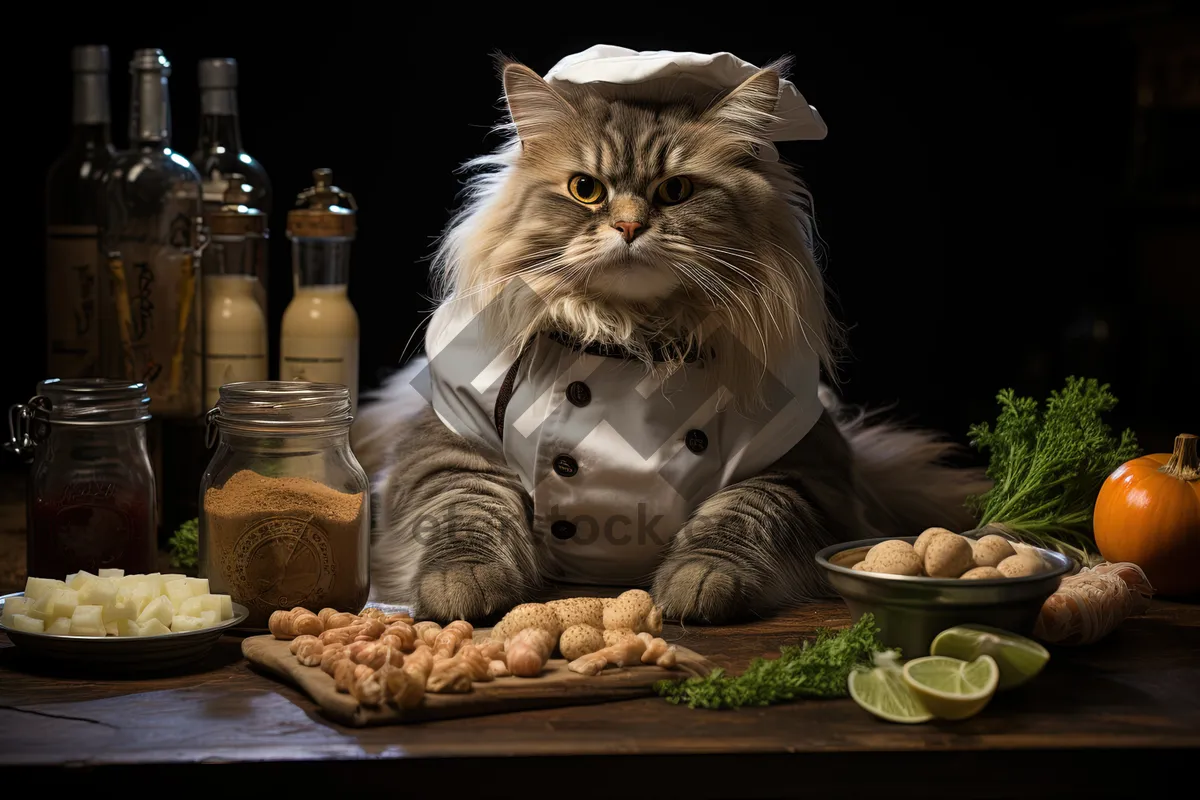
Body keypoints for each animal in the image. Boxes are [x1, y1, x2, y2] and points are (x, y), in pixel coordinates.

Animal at [350, 57, 988, 623]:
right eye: (585, 189)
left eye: (676, 190)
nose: (630, 226)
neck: (627, 346)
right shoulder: (449, 448)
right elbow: (467, 511)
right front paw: (465, 583)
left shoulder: (802, 467)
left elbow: (741, 515)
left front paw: (699, 581)